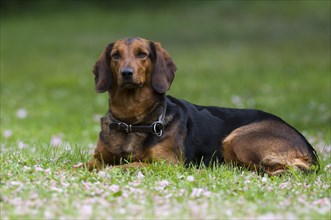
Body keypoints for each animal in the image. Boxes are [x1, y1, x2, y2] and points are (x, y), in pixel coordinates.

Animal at [80, 37, 320, 175]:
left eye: (142, 54)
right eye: (115, 55)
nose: (126, 73)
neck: (131, 120)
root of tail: (309, 147)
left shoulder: (167, 164)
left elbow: (126, 166)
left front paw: (109, 172)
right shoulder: (97, 158)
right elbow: (82, 166)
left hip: (238, 138)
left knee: (292, 169)